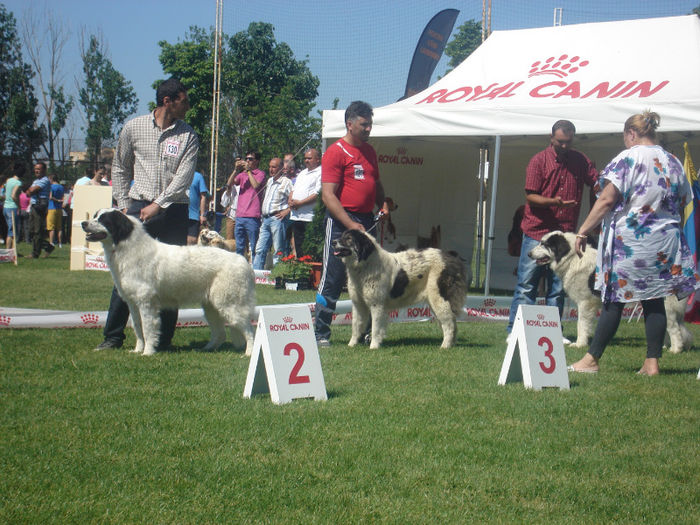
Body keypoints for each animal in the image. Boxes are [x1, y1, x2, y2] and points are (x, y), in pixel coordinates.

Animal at [81, 209, 256, 356]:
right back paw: (206, 349)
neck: (126, 247)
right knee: (220, 333)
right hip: (211, 307)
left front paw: (147, 352)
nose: (83, 223)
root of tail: (244, 262)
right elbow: (137, 328)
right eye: (95, 215)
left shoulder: (146, 303)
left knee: (250, 330)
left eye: (103, 220)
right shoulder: (133, 303)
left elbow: (147, 329)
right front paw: (137, 350)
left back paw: (249, 353)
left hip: (230, 305)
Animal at [330, 229, 468, 348]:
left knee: (449, 324)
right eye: (342, 236)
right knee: (451, 323)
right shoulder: (358, 304)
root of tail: (450, 256)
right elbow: (356, 325)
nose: (333, 242)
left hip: (439, 299)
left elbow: (375, 328)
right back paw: (450, 344)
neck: (365, 264)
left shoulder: (377, 305)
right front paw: (351, 345)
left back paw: (445, 346)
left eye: (348, 239)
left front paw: (373, 346)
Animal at [532, 230, 688, 350]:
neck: (573, 258)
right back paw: (664, 347)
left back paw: (675, 349)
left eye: (544, 244)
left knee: (674, 329)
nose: (529, 254)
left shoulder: (585, 302)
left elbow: (581, 324)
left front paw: (579, 344)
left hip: (667, 306)